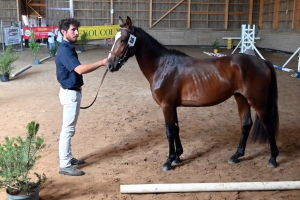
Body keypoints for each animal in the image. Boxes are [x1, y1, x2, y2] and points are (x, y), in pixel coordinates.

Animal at [106, 16, 278, 171]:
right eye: (114, 38)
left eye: (123, 40)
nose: (109, 65)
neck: (162, 65)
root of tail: (262, 62)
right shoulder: (172, 106)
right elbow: (176, 128)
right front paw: (177, 157)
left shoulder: (166, 106)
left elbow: (169, 131)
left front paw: (168, 161)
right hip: (241, 98)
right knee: (246, 124)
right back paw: (236, 156)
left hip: (257, 101)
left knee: (268, 124)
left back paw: (273, 159)